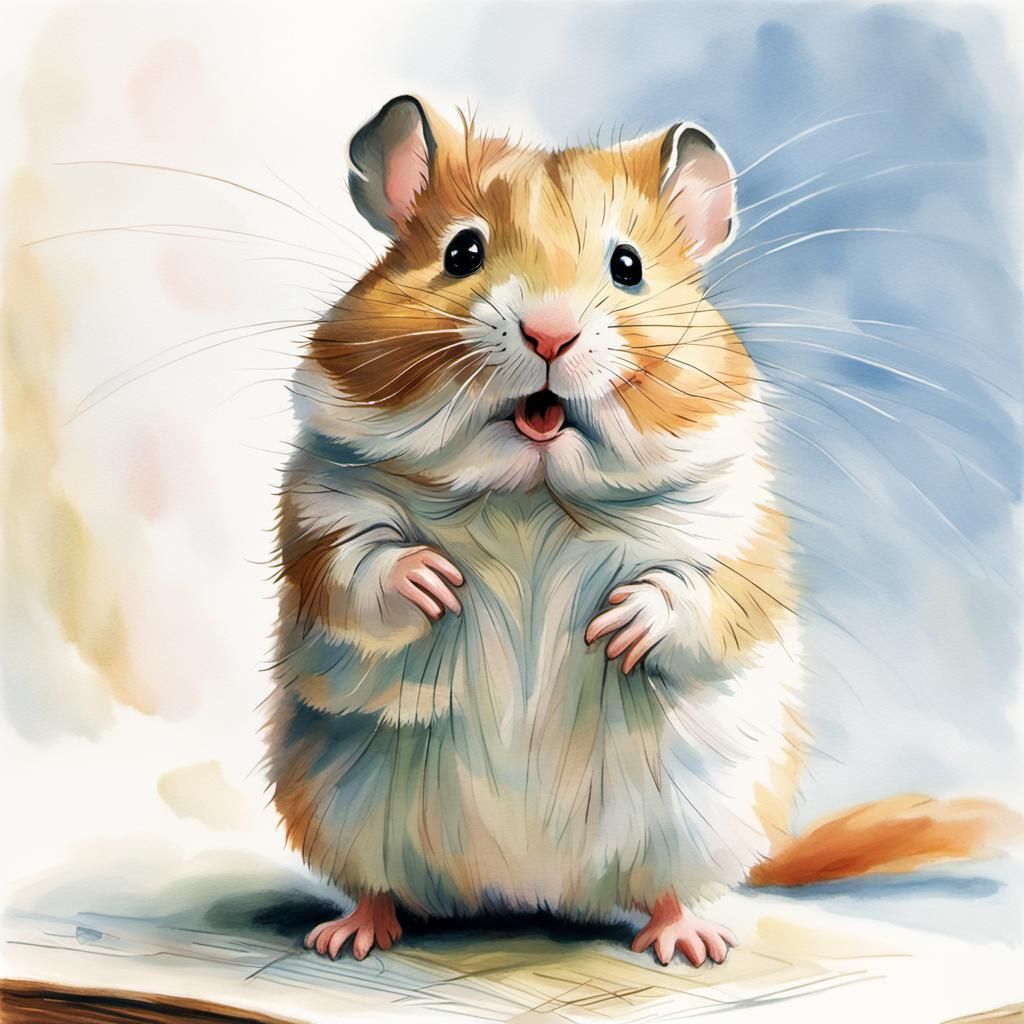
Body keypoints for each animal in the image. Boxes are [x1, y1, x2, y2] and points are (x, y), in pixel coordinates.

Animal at [264, 96, 1014, 966]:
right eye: (462, 251)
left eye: (628, 266)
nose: (550, 334)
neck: (533, 495)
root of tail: (526, 889)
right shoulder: (323, 505)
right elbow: (361, 565)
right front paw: (438, 585)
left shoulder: (735, 535)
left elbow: (692, 594)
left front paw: (616, 629)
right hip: (340, 805)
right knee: (382, 885)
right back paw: (347, 936)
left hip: (700, 818)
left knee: (666, 890)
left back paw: (694, 944)